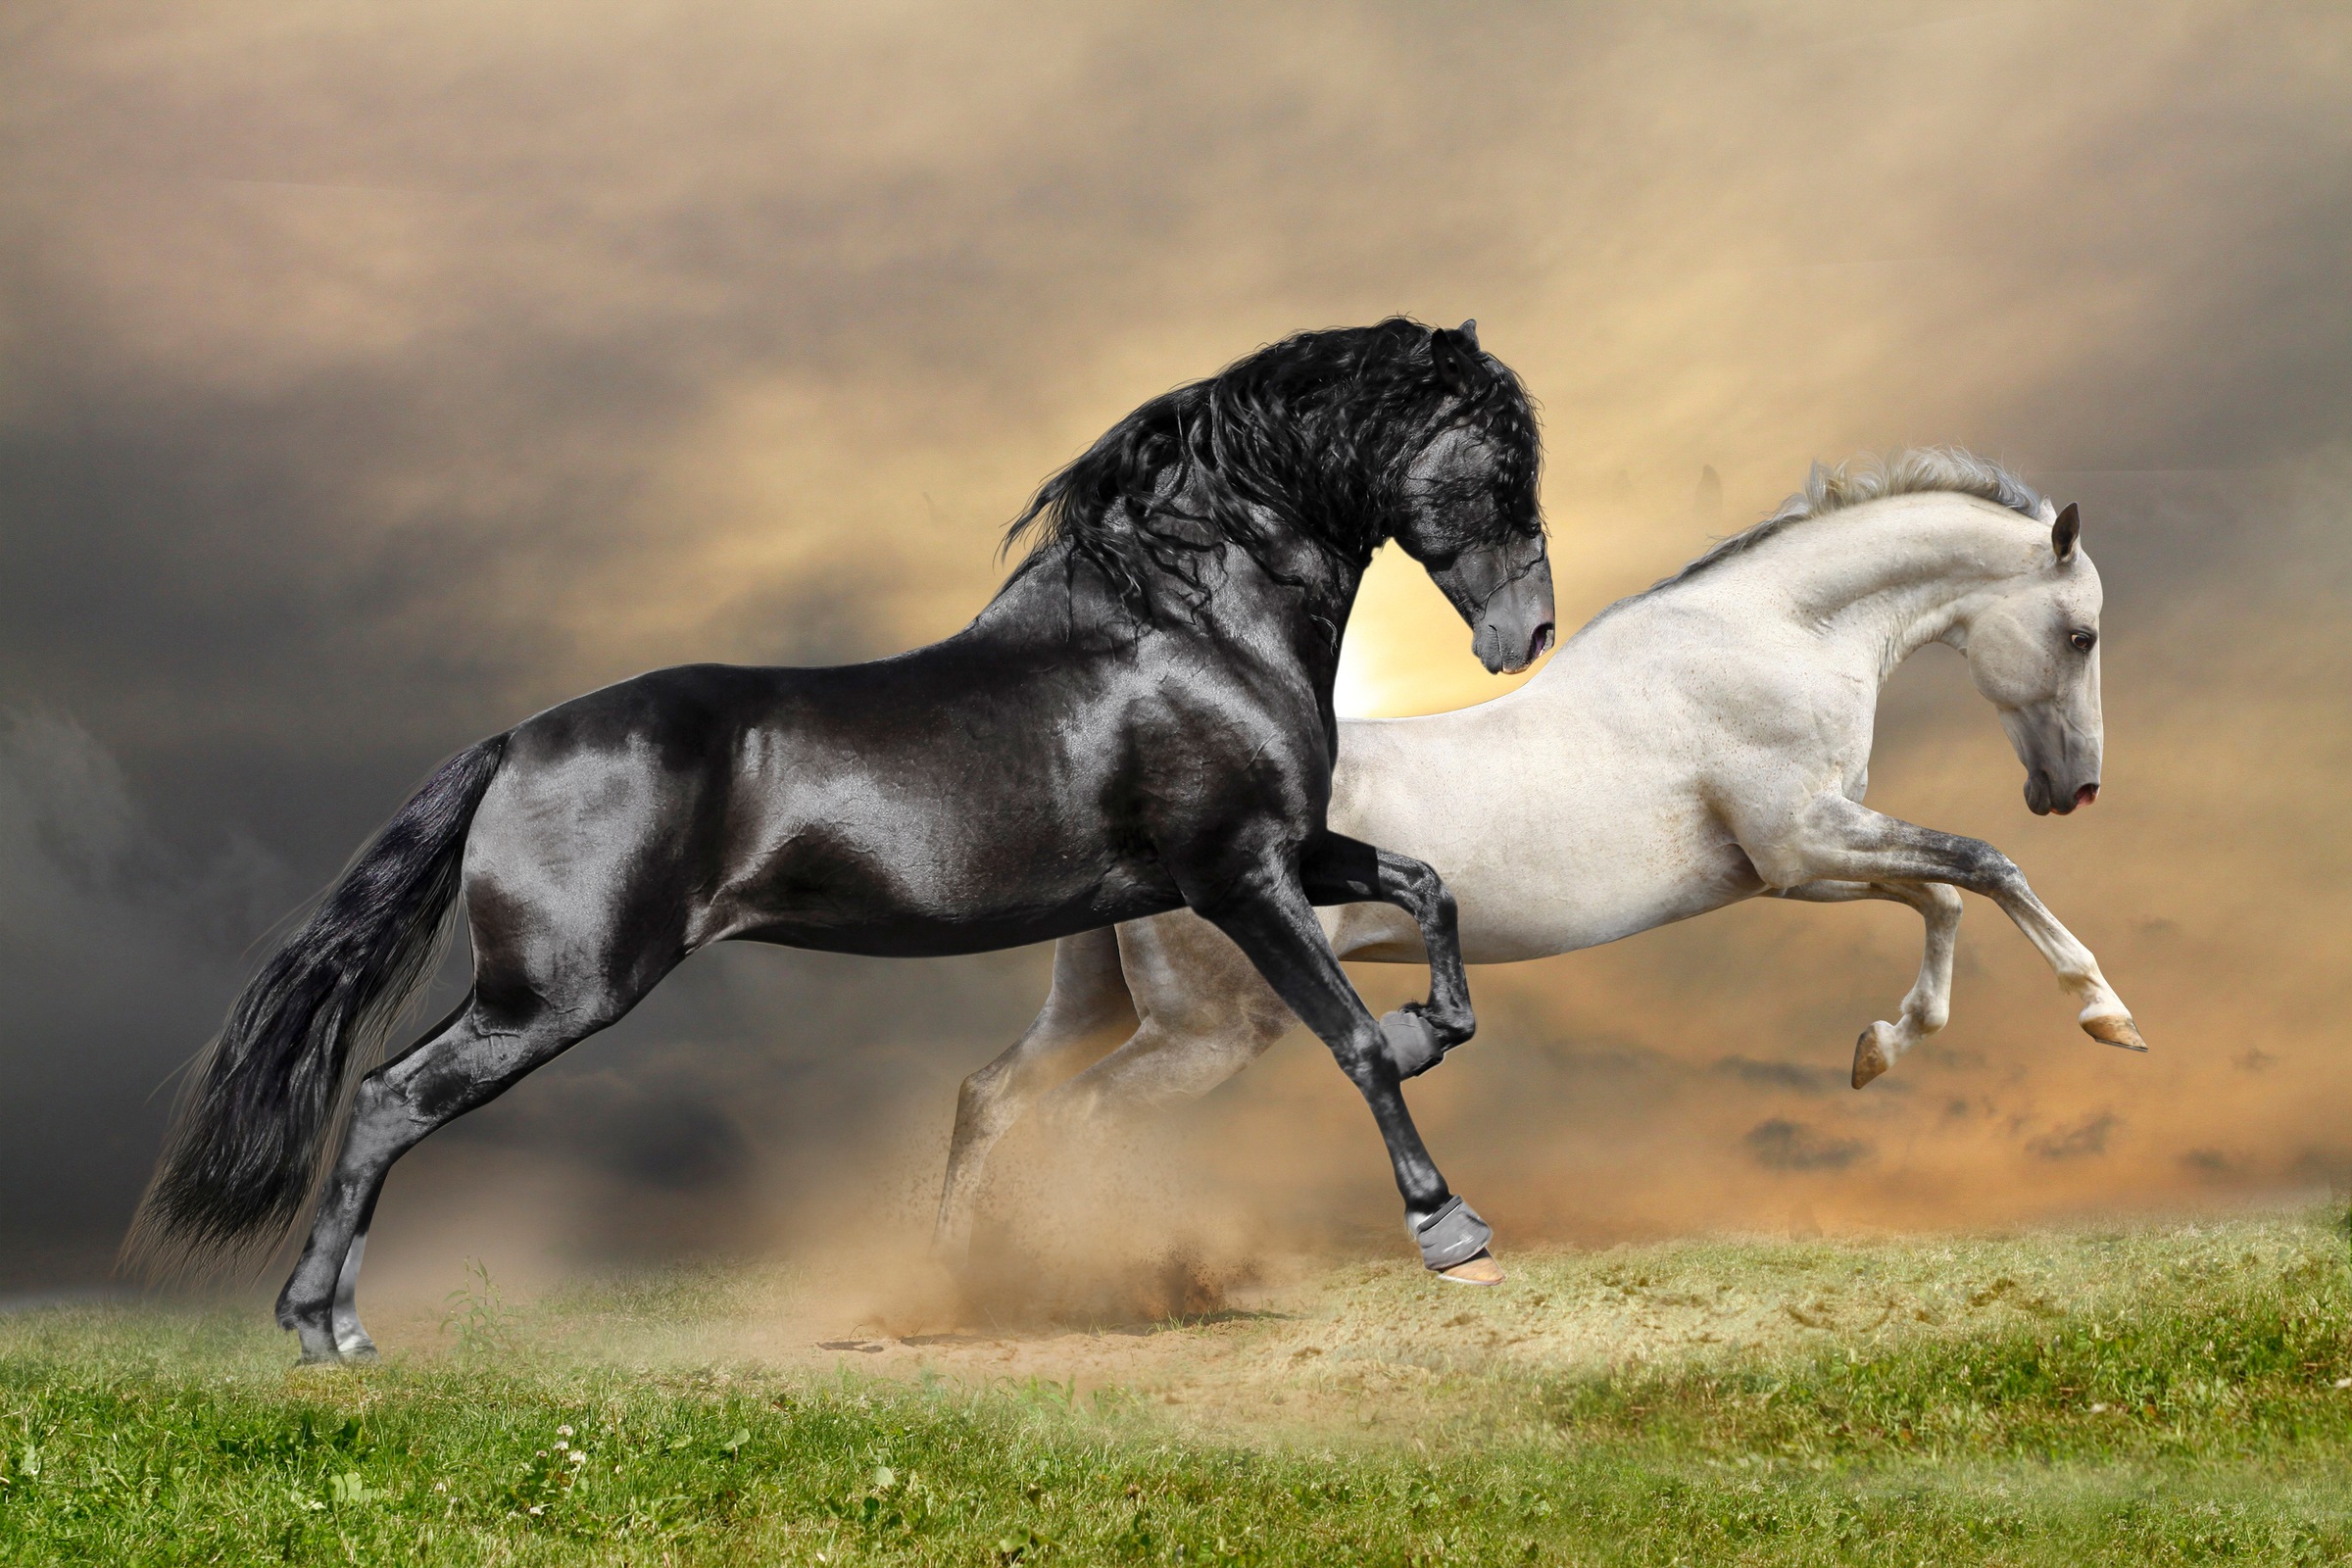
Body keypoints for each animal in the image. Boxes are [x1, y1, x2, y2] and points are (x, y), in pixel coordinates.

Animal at [128, 318, 1559, 1362]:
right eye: (1500, 461)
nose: (1527, 635)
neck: (1186, 626)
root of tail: (516, 742)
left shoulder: (1285, 850)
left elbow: (1427, 888)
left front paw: (1439, 1028)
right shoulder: (1235, 874)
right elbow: (1353, 1042)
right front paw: (1451, 1228)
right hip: (555, 993)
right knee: (387, 1098)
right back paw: (326, 1330)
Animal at [934, 448, 2147, 1266]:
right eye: (2080, 633)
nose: (2075, 789)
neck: (1776, 636)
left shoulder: (1794, 862)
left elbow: (1943, 897)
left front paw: (1880, 1047)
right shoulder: (1803, 837)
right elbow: (1984, 865)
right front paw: (2107, 1014)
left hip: (1102, 1003)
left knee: (992, 1095)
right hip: (1210, 1032)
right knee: (1078, 1120)